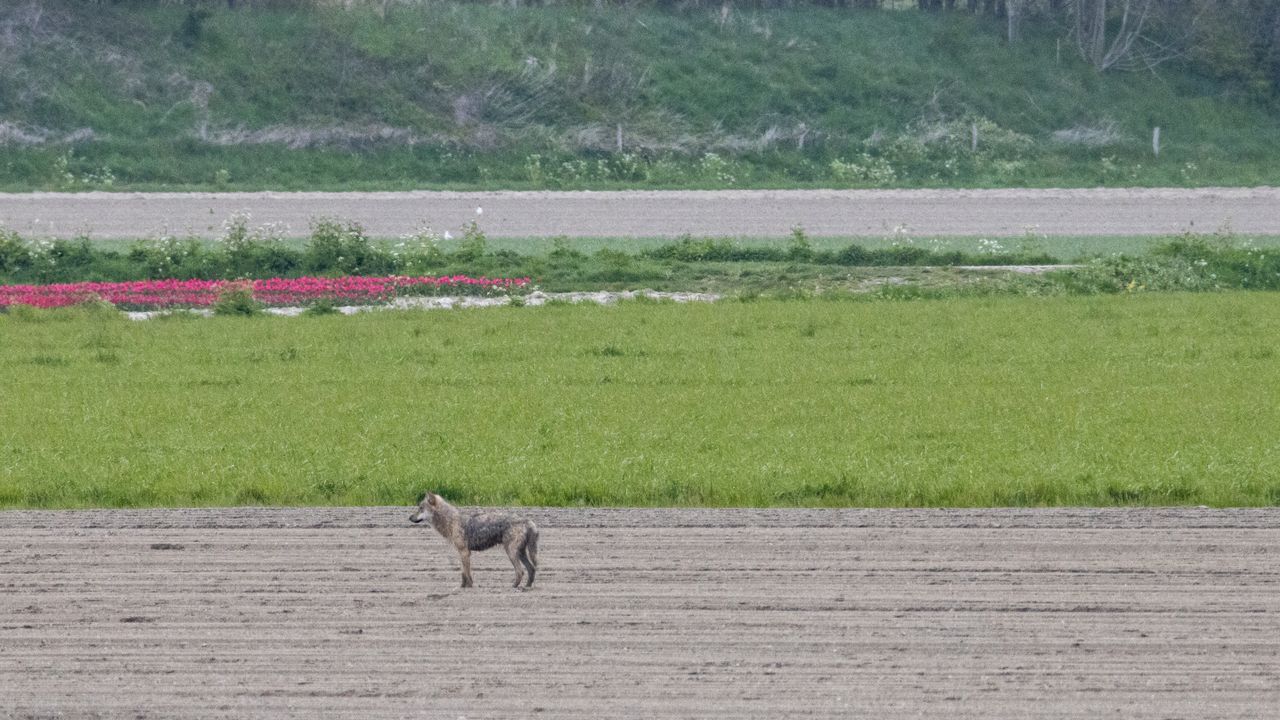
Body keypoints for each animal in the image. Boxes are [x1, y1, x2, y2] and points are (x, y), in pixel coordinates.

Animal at [409, 492, 538, 590]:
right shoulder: (462, 553)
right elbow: (463, 573)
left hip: (511, 553)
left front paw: (469, 587)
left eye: (420, 508)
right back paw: (527, 587)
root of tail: (528, 521)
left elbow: (467, 574)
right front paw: (462, 587)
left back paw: (513, 587)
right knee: (531, 569)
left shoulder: (464, 552)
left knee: (520, 571)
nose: (409, 517)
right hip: (520, 553)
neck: (451, 521)